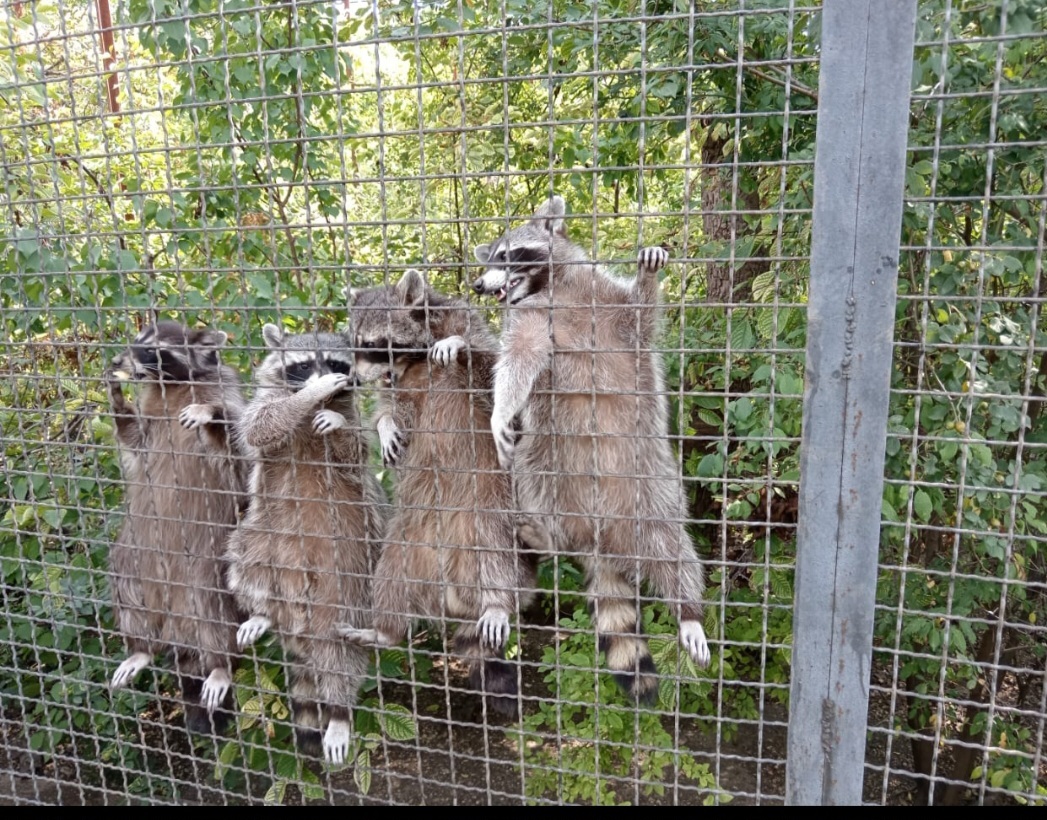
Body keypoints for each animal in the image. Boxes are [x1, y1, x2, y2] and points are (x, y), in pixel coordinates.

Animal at [105, 320, 247, 737]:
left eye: (153, 349)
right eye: (135, 340)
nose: (116, 360)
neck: (172, 384)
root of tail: (175, 620)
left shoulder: (226, 391)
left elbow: (236, 453)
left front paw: (209, 414)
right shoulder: (150, 427)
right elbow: (135, 444)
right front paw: (118, 403)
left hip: (206, 565)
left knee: (214, 606)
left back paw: (218, 664)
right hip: (136, 552)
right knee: (125, 581)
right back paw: (140, 648)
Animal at [225, 324, 385, 766]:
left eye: (334, 362)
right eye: (301, 365)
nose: (320, 381)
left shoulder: (356, 426)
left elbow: (354, 449)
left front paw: (333, 418)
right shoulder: (265, 402)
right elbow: (261, 424)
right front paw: (306, 397)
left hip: (351, 571)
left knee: (338, 653)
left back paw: (339, 712)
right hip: (264, 531)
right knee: (244, 559)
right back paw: (261, 611)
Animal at [339, 270, 536, 720]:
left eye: (375, 344)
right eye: (353, 342)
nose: (354, 379)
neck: (412, 361)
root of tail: (449, 586)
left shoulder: (470, 333)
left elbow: (489, 366)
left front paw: (457, 344)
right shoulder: (395, 385)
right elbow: (387, 407)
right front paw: (385, 426)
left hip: (491, 515)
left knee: (498, 558)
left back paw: (496, 600)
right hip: (404, 543)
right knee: (389, 577)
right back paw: (384, 631)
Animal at [473, 196, 711, 703]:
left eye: (509, 254)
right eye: (492, 256)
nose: (477, 283)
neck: (552, 288)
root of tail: (599, 537)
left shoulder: (608, 305)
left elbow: (641, 313)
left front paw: (649, 274)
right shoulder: (530, 324)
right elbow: (518, 362)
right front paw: (502, 408)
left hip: (654, 491)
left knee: (673, 549)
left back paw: (689, 610)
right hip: (548, 461)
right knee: (529, 475)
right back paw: (544, 537)